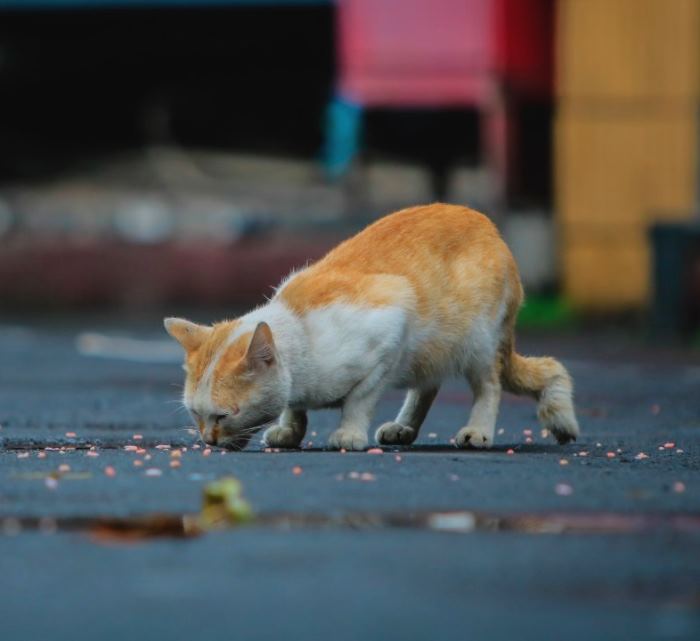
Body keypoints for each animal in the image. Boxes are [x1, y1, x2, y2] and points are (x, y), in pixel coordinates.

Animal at [164, 204, 580, 450]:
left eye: (222, 415)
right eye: (195, 414)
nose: (208, 439)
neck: (299, 329)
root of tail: (489, 226)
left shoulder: (393, 323)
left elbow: (360, 399)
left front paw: (348, 432)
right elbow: (295, 407)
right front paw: (290, 427)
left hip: (475, 342)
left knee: (490, 385)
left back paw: (478, 430)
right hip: (434, 352)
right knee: (428, 386)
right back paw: (404, 428)